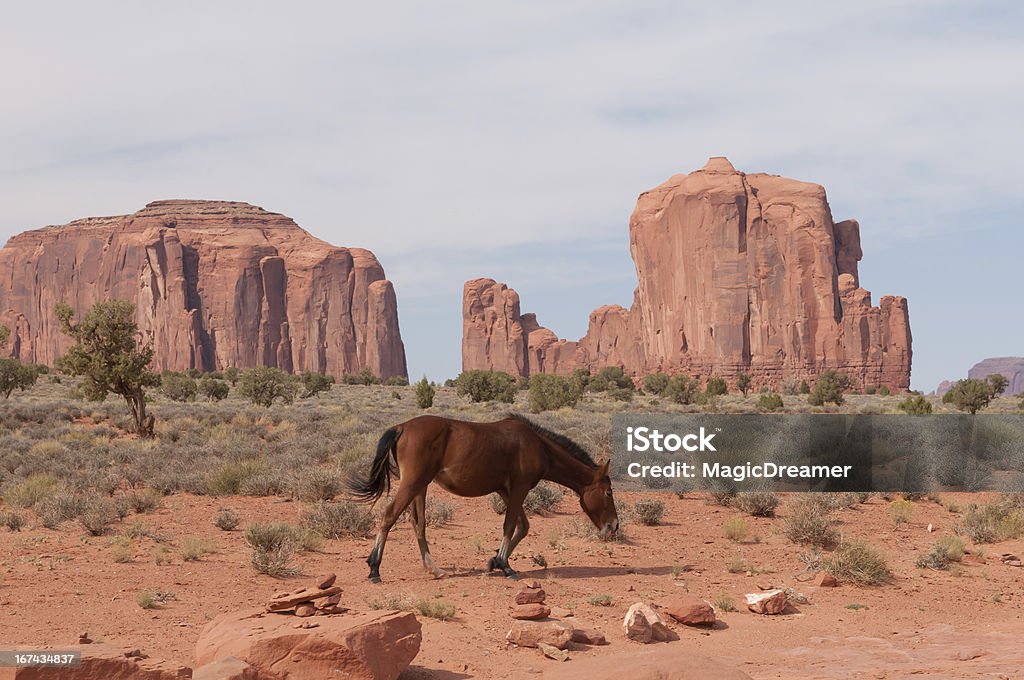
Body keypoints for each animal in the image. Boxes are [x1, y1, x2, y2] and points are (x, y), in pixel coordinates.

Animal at [346, 411, 614, 581]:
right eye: (608, 491)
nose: (614, 526)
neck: (538, 446)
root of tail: (401, 427)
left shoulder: (505, 491)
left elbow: (522, 526)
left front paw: (494, 561)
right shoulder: (519, 488)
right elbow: (510, 525)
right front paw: (505, 566)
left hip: (420, 486)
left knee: (417, 523)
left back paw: (434, 569)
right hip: (413, 484)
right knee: (389, 516)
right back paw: (374, 569)